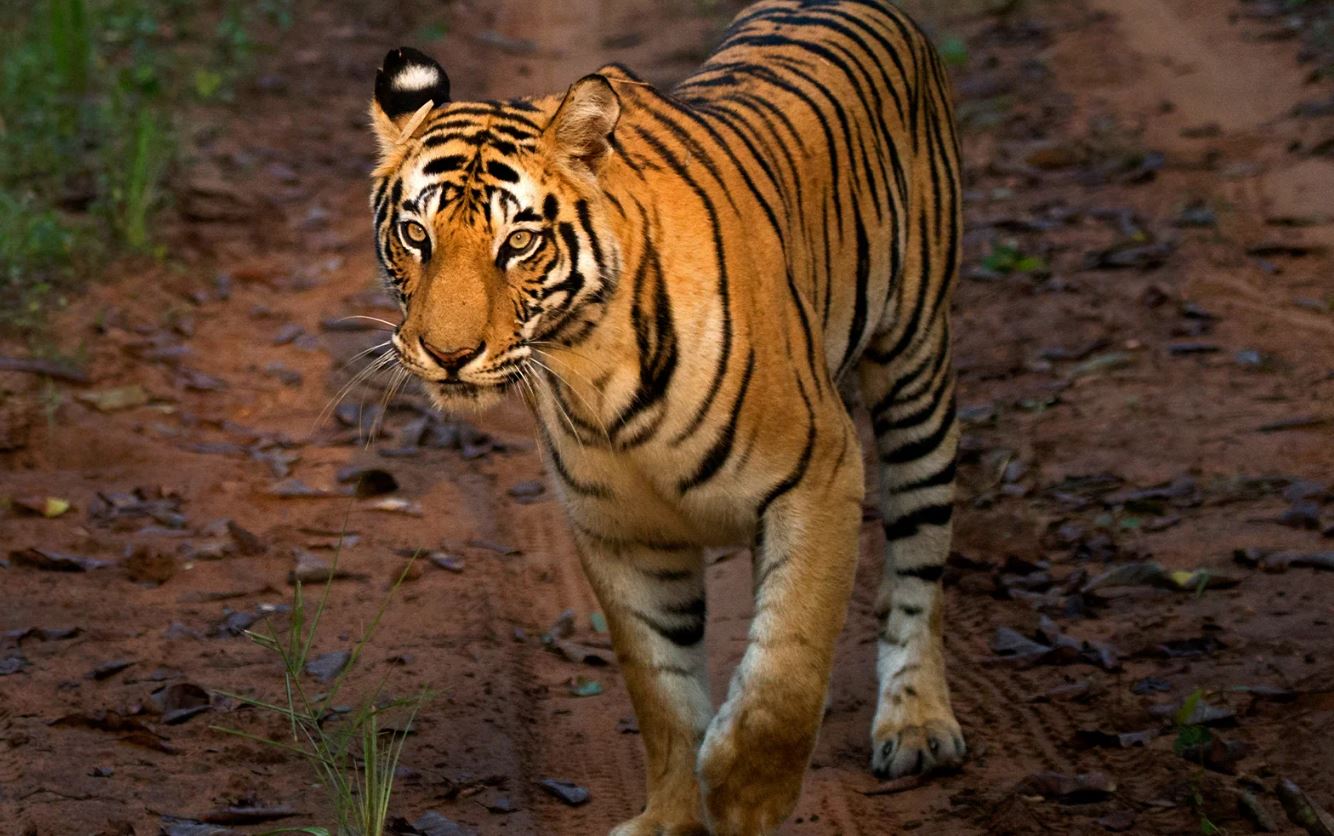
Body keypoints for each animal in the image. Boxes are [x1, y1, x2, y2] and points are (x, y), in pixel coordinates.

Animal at [367, 1, 964, 833]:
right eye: (415, 234)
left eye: (519, 242)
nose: (447, 354)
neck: (590, 367)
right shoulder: (621, 529)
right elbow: (663, 691)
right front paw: (674, 814)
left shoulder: (821, 475)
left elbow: (787, 671)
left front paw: (744, 798)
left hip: (915, 371)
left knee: (919, 563)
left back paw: (915, 725)